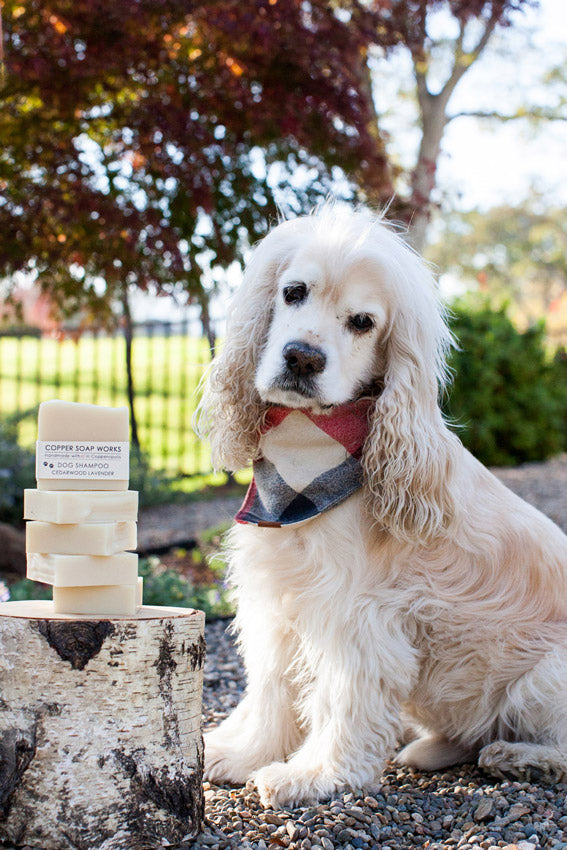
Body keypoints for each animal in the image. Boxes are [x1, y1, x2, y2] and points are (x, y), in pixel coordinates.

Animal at [194, 202, 567, 804]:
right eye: (293, 291)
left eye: (363, 322)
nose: (302, 358)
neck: (308, 460)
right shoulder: (278, 596)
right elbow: (274, 686)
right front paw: (246, 752)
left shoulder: (355, 614)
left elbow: (340, 700)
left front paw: (314, 775)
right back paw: (433, 750)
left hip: (544, 675)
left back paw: (522, 758)